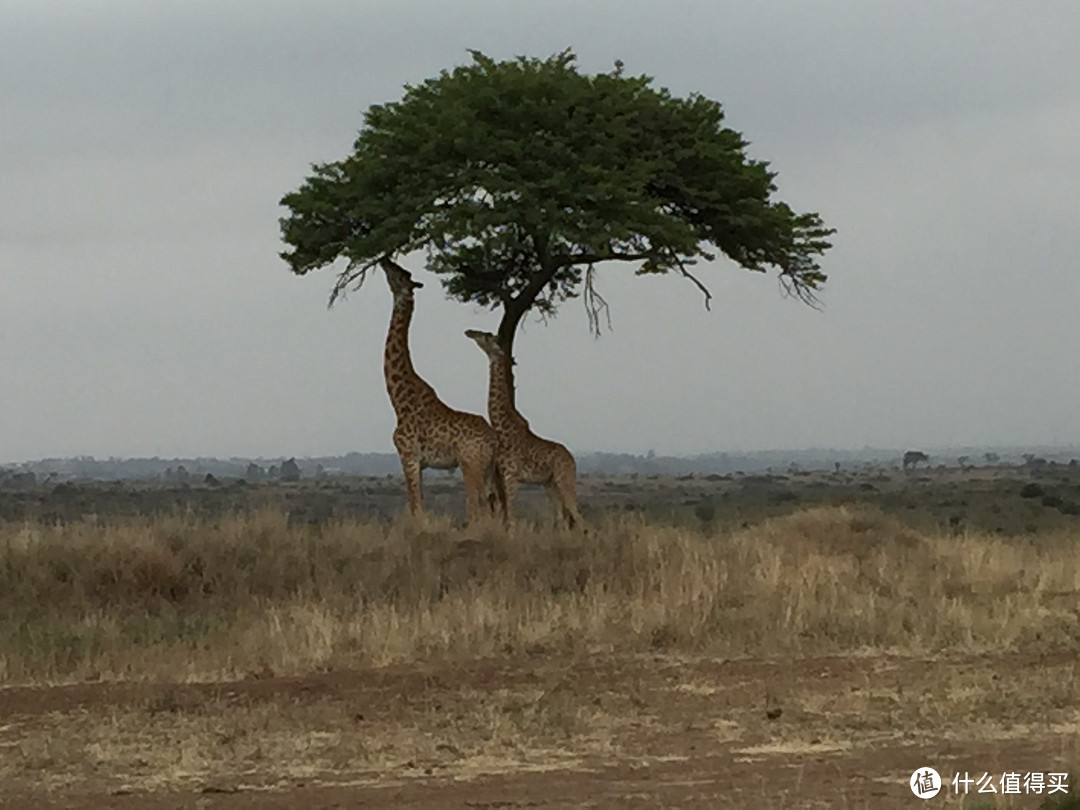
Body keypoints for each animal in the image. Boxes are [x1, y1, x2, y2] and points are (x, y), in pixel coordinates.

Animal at [378, 263, 503, 522]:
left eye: (400, 274)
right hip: (489, 469)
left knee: (477, 507)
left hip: (471, 465)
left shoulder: (408, 455)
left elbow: (416, 507)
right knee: (493, 508)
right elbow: (419, 504)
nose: (385, 260)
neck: (398, 400)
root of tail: (493, 439)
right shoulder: (420, 463)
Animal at [462, 330, 587, 533]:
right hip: (550, 484)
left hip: (564, 479)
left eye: (487, 336)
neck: (502, 428)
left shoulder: (511, 477)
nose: (469, 332)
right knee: (561, 518)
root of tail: (572, 460)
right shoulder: (502, 477)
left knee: (577, 514)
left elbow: (512, 519)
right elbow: (507, 516)